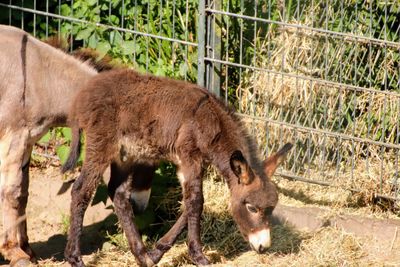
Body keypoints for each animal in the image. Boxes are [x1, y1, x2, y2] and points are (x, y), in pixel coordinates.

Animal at [64, 68, 292, 266]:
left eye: (271, 209)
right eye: (252, 208)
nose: (264, 247)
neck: (211, 120)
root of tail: (83, 95)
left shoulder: (190, 164)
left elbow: (192, 204)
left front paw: (157, 252)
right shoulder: (189, 157)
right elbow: (196, 202)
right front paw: (198, 256)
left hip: (124, 155)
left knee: (118, 194)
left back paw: (142, 255)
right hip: (102, 145)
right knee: (81, 190)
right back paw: (75, 258)